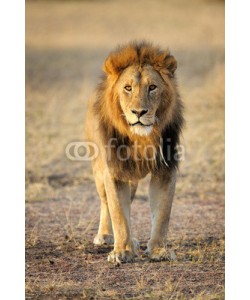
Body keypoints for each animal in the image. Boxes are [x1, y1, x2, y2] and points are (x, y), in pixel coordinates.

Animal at [85, 40, 185, 264]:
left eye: (152, 87)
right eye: (128, 88)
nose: (139, 112)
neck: (142, 139)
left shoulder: (165, 169)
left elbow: (163, 213)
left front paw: (158, 250)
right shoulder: (113, 170)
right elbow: (118, 213)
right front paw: (122, 251)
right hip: (99, 170)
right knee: (105, 202)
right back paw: (106, 235)